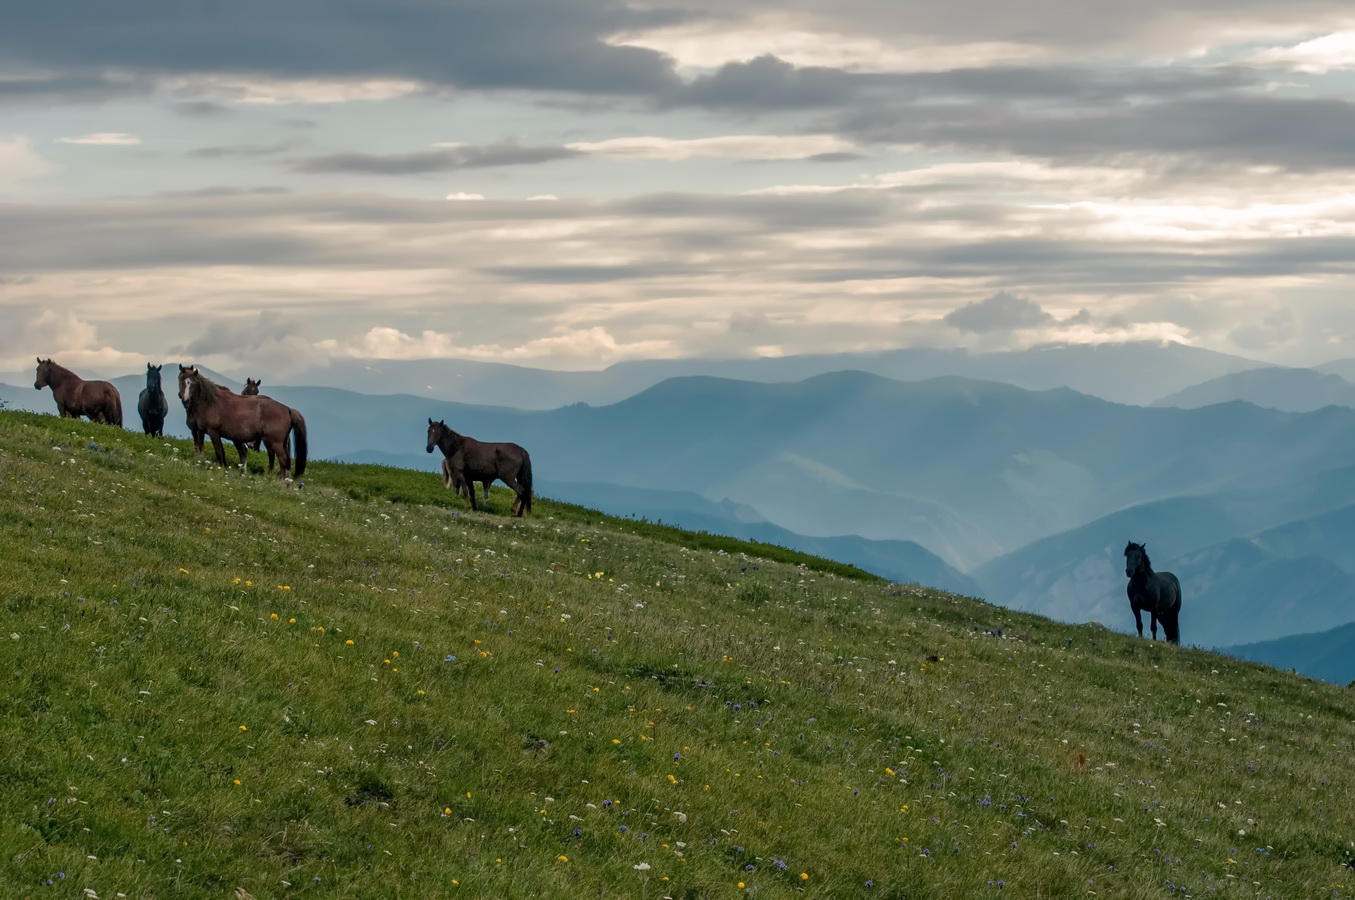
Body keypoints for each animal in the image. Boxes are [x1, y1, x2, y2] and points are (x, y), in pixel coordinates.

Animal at [178, 363, 306, 477]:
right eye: (181, 380)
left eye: (193, 383)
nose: (185, 400)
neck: (210, 403)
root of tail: (288, 409)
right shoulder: (200, 431)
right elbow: (201, 449)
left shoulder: (213, 432)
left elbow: (219, 453)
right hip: (280, 443)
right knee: (283, 462)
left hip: (274, 442)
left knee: (283, 460)